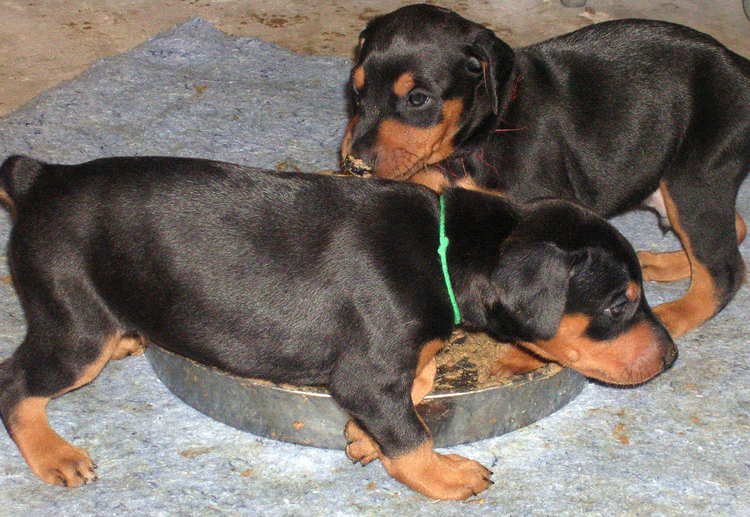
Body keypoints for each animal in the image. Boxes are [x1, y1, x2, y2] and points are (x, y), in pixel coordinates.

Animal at [0, 155, 680, 498]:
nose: (672, 357)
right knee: (16, 384)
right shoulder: (366, 373)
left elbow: (416, 382)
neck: (445, 247)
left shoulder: (393, 360)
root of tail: (41, 177)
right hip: (74, 324)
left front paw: (361, 436)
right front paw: (446, 476)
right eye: (620, 304)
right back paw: (55, 456)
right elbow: (411, 437)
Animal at [342, 6, 750, 340]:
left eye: (418, 99)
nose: (353, 163)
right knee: (734, 229)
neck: (487, 129)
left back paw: (670, 315)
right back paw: (660, 264)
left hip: (694, 180)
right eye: (357, 93)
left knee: (724, 270)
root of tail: (741, 67)